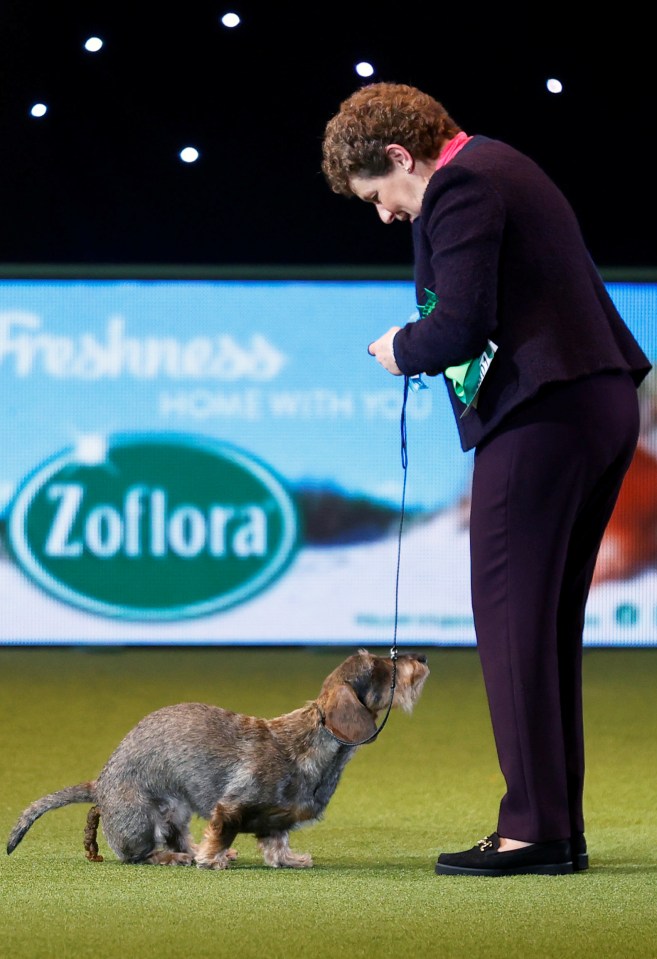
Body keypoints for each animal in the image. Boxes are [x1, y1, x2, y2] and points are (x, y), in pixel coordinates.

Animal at [7, 652, 428, 872]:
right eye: (382, 668)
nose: (421, 656)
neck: (309, 740)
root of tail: (100, 784)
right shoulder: (230, 807)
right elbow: (221, 833)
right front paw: (213, 860)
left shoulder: (278, 820)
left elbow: (277, 842)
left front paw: (289, 859)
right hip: (143, 820)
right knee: (141, 854)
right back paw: (178, 857)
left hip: (175, 811)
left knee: (176, 836)